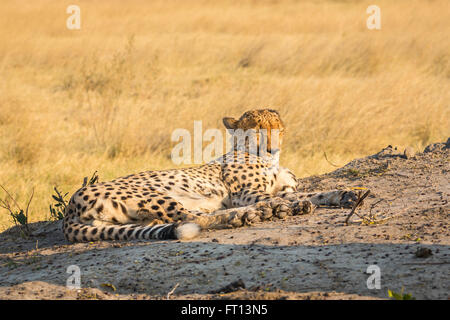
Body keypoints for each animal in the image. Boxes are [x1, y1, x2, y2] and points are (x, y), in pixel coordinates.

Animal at [64, 109, 358, 241]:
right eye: (258, 130)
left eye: (278, 128)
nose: (272, 147)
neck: (269, 160)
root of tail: (70, 207)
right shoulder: (246, 194)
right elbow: (283, 197)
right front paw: (291, 206)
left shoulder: (283, 188)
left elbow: (314, 193)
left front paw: (344, 194)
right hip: (154, 194)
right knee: (192, 217)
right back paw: (253, 214)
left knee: (188, 216)